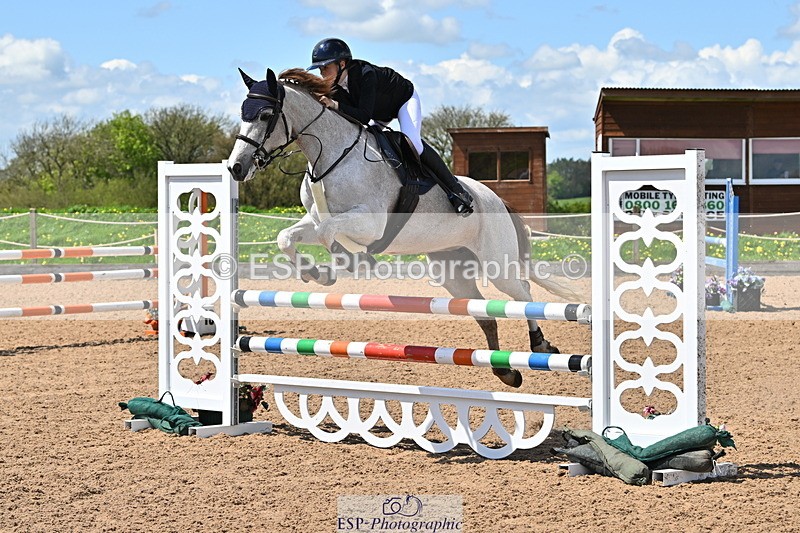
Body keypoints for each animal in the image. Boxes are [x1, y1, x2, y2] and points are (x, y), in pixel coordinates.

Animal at [227, 68, 576, 388]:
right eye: (242, 114)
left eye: (266, 114)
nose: (235, 168)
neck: (330, 154)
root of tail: (498, 200)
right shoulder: (314, 221)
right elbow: (287, 236)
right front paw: (316, 272)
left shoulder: (370, 222)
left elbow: (330, 235)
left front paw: (346, 263)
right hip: (453, 272)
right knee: (485, 313)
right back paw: (506, 372)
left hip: (497, 264)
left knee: (524, 294)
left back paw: (541, 345)